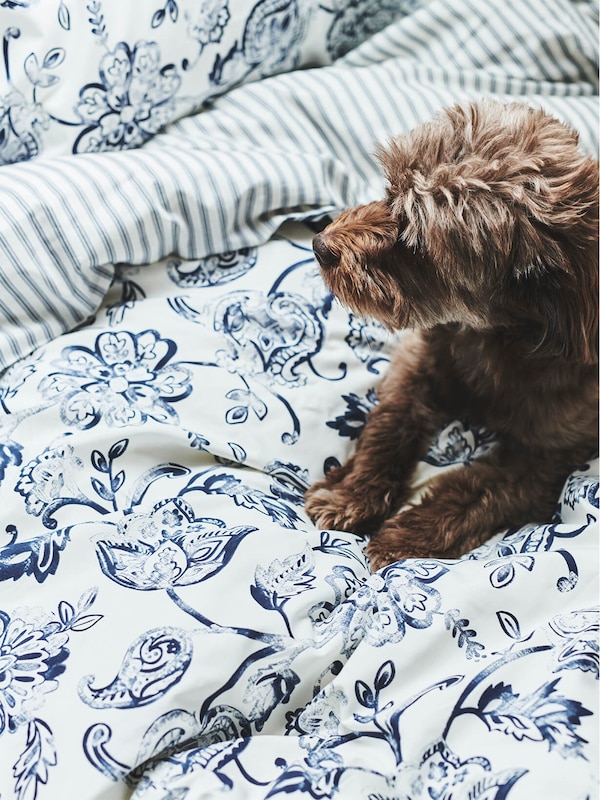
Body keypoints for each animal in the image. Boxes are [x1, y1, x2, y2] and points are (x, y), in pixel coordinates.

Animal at [308, 100, 596, 572]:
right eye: (390, 189)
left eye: (416, 244)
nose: (321, 245)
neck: (495, 334)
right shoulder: (419, 363)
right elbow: (389, 428)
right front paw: (349, 494)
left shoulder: (551, 456)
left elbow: (477, 493)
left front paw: (405, 537)